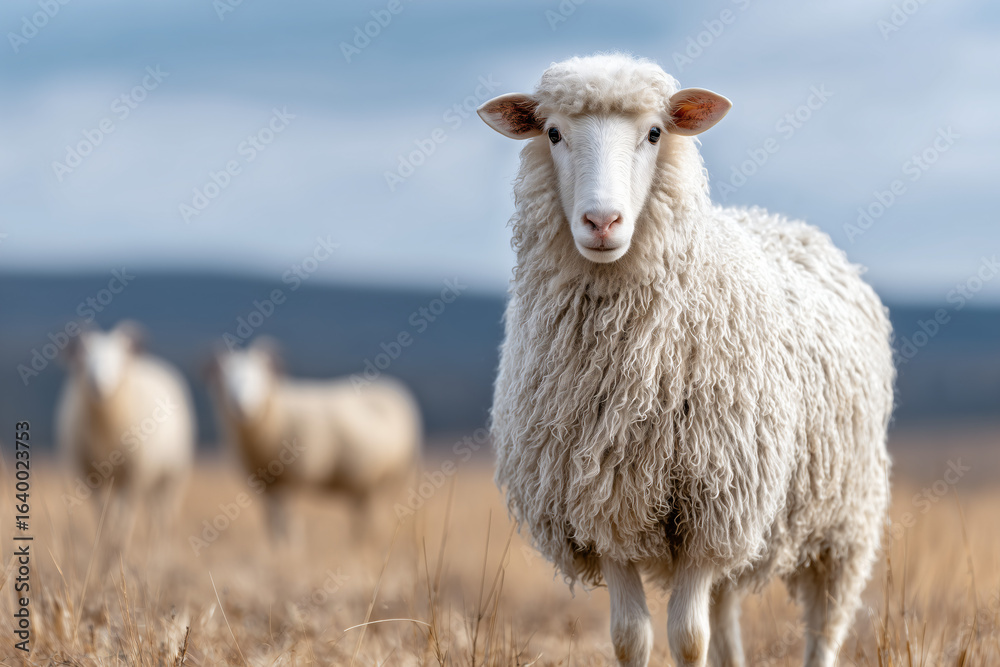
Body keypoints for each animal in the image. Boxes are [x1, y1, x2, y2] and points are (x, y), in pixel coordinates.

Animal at [56, 322, 195, 547]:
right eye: (83, 358)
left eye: (118, 360)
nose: (98, 384)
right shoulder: (90, 476)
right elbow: (103, 512)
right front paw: (106, 542)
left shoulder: (134, 474)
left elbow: (126, 514)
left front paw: (120, 544)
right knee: (151, 510)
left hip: (173, 475)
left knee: (166, 512)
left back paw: (163, 545)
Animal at [207, 339, 422, 544]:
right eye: (225, 380)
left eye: (259, 377)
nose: (240, 406)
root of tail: (395, 389)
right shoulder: (266, 482)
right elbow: (272, 520)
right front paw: (276, 547)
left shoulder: (294, 477)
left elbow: (288, 518)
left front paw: (293, 547)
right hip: (364, 483)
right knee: (362, 516)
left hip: (391, 479)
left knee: (376, 517)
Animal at [479, 54, 894, 667]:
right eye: (552, 133)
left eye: (655, 133)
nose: (602, 222)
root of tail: (783, 223)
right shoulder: (604, 505)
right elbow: (632, 637)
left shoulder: (712, 508)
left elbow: (688, 639)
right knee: (726, 616)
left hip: (843, 520)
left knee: (825, 625)